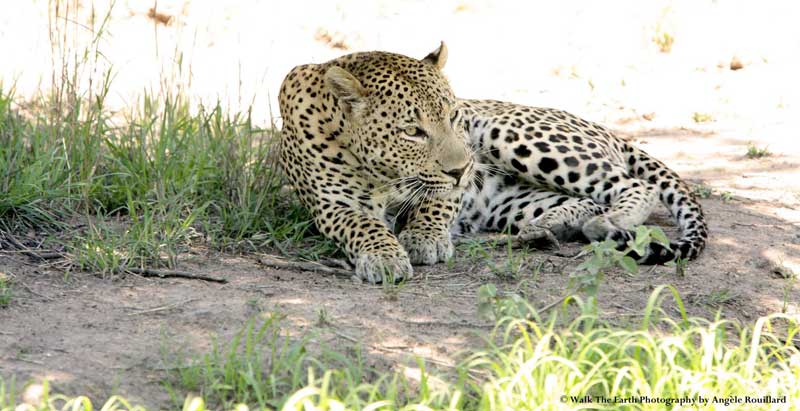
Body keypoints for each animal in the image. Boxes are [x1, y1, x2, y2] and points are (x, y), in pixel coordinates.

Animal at [278, 43, 475, 284]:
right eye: (412, 131)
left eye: (453, 116)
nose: (460, 171)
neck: (388, 175)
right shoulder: (333, 204)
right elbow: (364, 224)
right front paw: (385, 257)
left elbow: (437, 201)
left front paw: (424, 235)